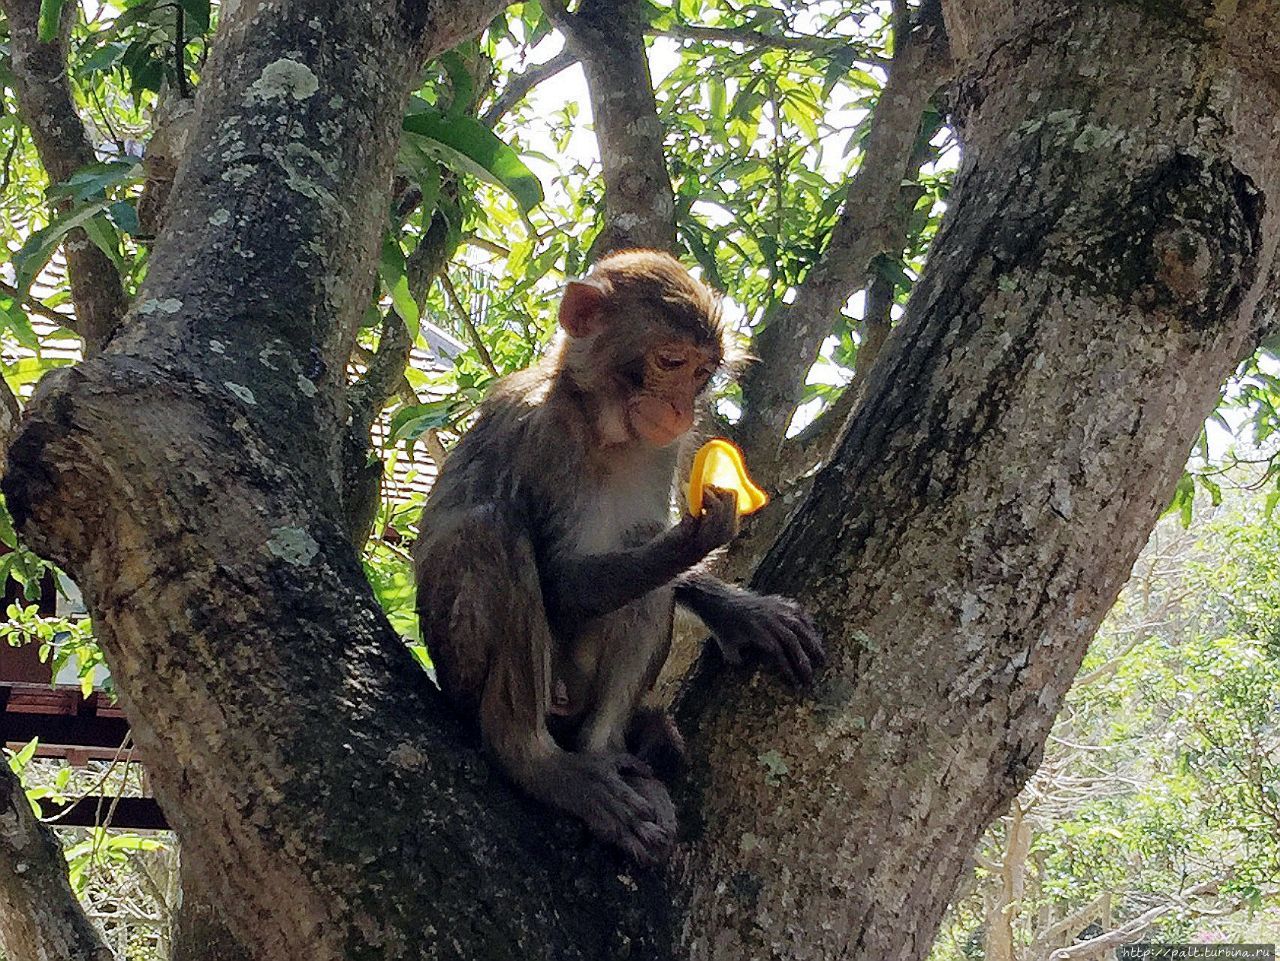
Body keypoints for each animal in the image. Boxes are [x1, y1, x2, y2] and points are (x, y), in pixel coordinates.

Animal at [414, 248, 824, 865]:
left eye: (703, 374)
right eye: (670, 361)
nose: (681, 409)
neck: (605, 430)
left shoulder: (662, 450)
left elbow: (651, 554)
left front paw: (740, 609)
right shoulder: (546, 436)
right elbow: (561, 579)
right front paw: (691, 540)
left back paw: (605, 751)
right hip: (461, 666)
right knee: (489, 530)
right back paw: (539, 762)